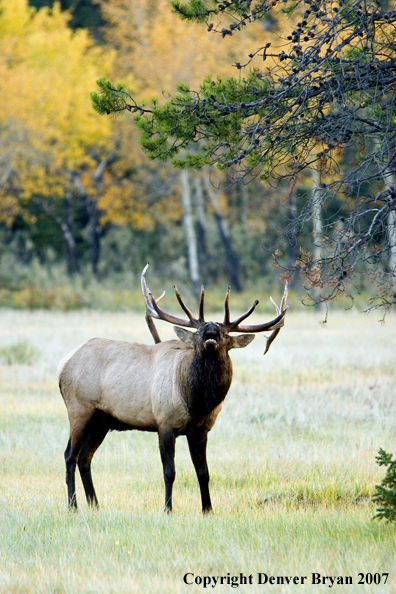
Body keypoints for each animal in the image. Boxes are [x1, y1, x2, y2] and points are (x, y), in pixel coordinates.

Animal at [58, 264, 288, 508]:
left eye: (226, 334)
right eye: (197, 332)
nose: (210, 329)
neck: (197, 403)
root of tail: (62, 364)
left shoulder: (201, 430)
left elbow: (203, 472)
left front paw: (207, 509)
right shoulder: (165, 423)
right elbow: (169, 472)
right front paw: (168, 508)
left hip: (102, 420)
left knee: (85, 458)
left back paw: (95, 505)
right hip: (79, 408)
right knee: (70, 455)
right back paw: (73, 506)